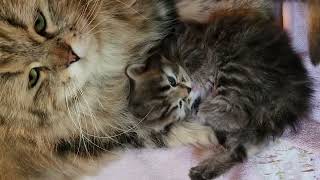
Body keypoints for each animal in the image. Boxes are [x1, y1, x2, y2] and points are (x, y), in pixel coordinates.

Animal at [0, 0, 218, 179]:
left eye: (39, 23)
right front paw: (208, 136)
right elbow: (165, 132)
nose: (72, 56)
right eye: (33, 77)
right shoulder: (106, 134)